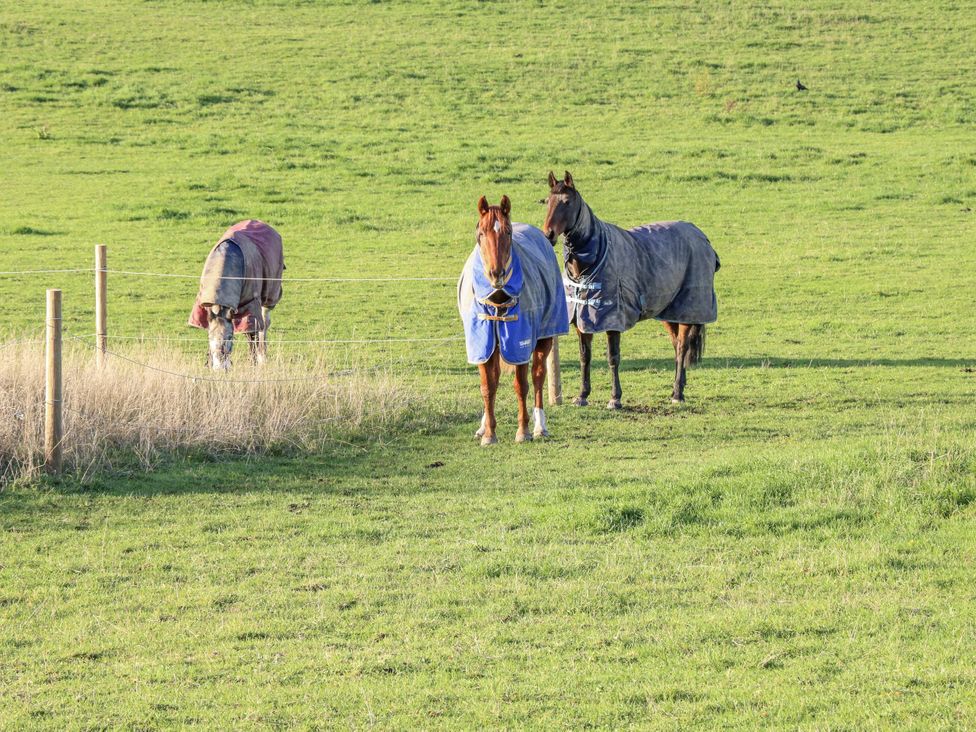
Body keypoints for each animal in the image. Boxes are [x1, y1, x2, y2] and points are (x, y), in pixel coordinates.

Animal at [188, 219, 285, 370]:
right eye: (210, 338)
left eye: (229, 337)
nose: (220, 368)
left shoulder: (251, 305)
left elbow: (252, 334)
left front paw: (253, 363)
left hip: (269, 296)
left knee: (264, 324)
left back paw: (262, 357)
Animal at [458, 195, 569, 445]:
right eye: (480, 233)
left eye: (507, 232)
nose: (496, 274)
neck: (497, 298)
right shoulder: (483, 345)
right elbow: (488, 387)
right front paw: (489, 434)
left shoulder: (519, 344)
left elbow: (522, 386)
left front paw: (523, 430)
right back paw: (483, 427)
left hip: (544, 337)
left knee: (538, 377)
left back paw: (540, 426)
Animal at [542, 171, 720, 407]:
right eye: (547, 201)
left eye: (567, 202)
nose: (548, 234)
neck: (590, 262)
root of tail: (700, 236)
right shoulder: (582, 319)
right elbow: (584, 357)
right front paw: (582, 395)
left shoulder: (612, 320)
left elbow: (613, 357)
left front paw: (615, 398)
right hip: (670, 311)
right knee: (676, 346)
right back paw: (678, 388)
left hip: (688, 309)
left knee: (682, 347)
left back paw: (677, 394)